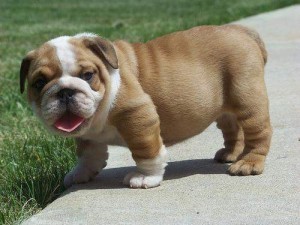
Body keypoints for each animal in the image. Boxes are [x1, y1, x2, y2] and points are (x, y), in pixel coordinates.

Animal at [18, 24, 272, 189]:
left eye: (88, 75)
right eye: (39, 83)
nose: (65, 91)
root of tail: (242, 31)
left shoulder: (137, 114)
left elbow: (145, 150)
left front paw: (145, 177)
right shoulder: (87, 133)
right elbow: (88, 154)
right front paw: (81, 173)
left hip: (248, 100)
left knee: (258, 133)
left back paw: (248, 163)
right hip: (226, 109)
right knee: (232, 128)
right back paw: (230, 154)